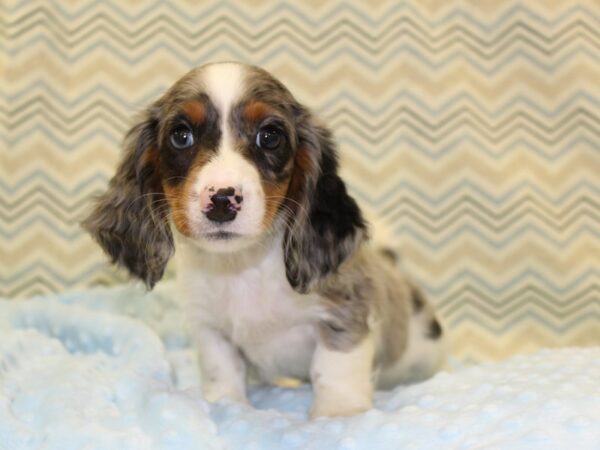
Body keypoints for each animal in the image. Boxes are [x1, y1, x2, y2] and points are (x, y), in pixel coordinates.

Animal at [86, 62, 448, 418]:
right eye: (181, 135)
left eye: (270, 137)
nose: (222, 200)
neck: (244, 267)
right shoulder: (211, 329)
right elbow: (221, 369)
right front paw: (227, 406)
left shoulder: (344, 313)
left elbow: (334, 369)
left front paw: (337, 414)